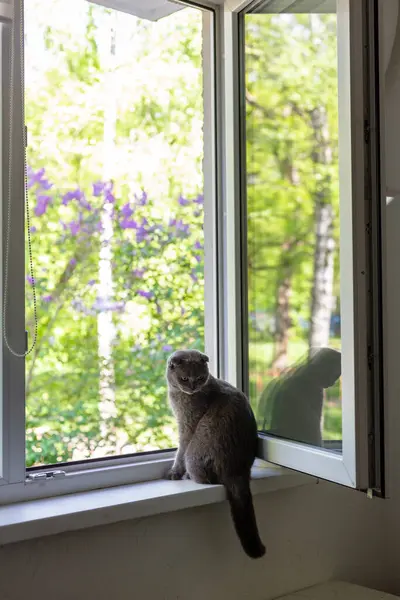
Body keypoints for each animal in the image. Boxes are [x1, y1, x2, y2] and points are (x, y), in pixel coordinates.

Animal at [166, 346, 266, 556]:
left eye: (200, 377)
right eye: (184, 378)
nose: (193, 387)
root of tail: (236, 471)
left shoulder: (187, 426)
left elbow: (179, 451)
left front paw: (174, 472)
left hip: (194, 455)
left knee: (205, 478)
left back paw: (189, 476)